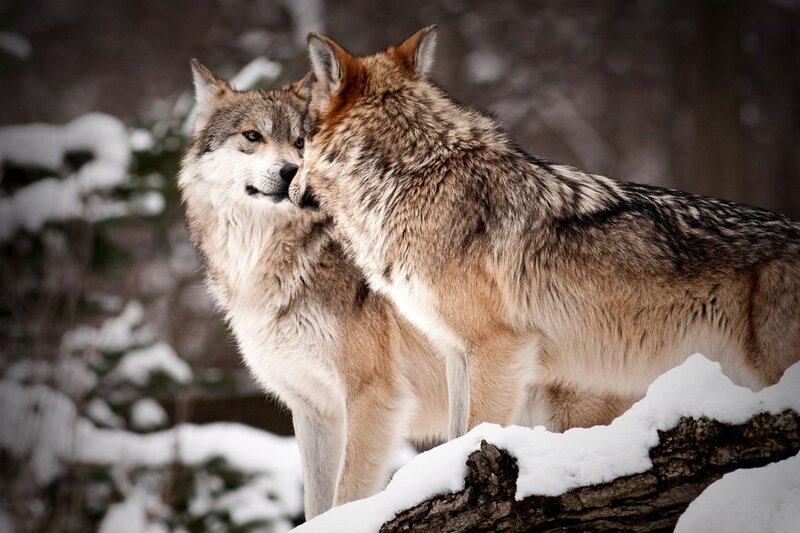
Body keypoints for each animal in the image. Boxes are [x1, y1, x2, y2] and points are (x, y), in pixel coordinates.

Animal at [178, 60, 629, 517]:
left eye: (302, 143)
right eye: (253, 136)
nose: (290, 171)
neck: (278, 260)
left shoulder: (373, 396)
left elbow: (348, 495)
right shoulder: (313, 409)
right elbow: (317, 506)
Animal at [289, 27, 800, 438]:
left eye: (300, 140)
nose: (287, 185)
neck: (411, 174)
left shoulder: (499, 348)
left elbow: (477, 430)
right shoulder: (456, 353)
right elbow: (454, 434)